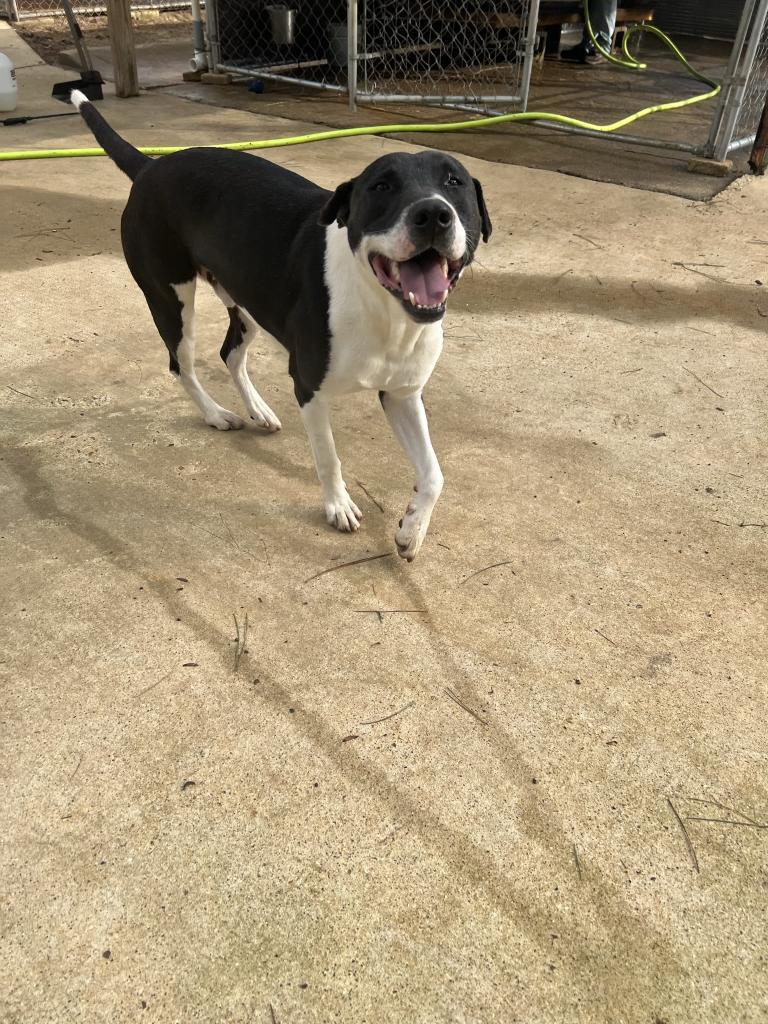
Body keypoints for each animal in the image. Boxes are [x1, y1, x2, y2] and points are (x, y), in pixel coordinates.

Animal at [72, 90, 493, 561]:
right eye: (381, 186)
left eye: (454, 182)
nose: (433, 214)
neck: (384, 311)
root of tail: (150, 166)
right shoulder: (309, 389)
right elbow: (328, 457)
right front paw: (338, 505)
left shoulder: (402, 394)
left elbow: (434, 474)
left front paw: (411, 530)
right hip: (171, 299)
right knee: (181, 365)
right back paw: (216, 414)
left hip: (246, 304)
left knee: (229, 353)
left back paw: (258, 409)